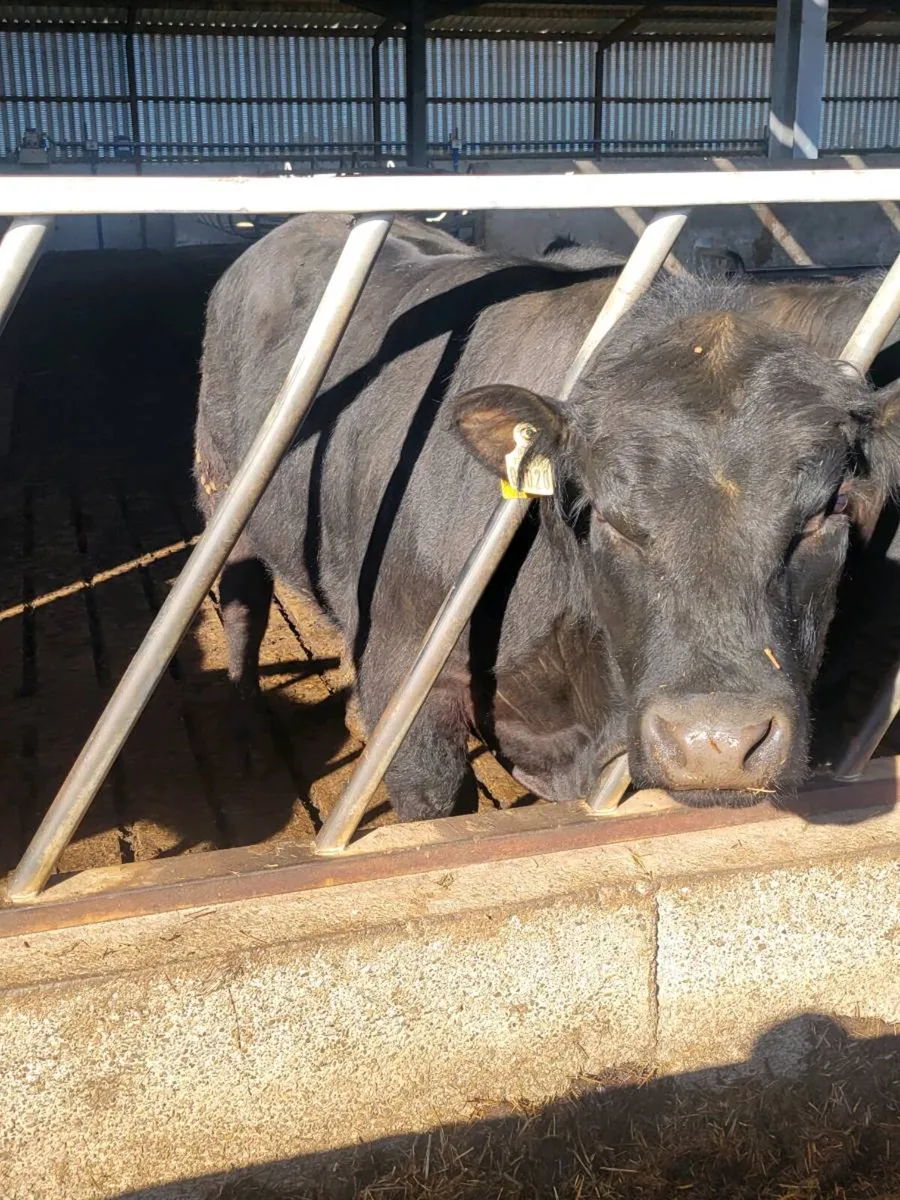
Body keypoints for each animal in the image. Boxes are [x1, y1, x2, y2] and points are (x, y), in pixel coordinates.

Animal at [194, 214, 900, 820]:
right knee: (242, 603)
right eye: (606, 515)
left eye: (827, 511)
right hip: (225, 492)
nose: (717, 743)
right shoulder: (409, 677)